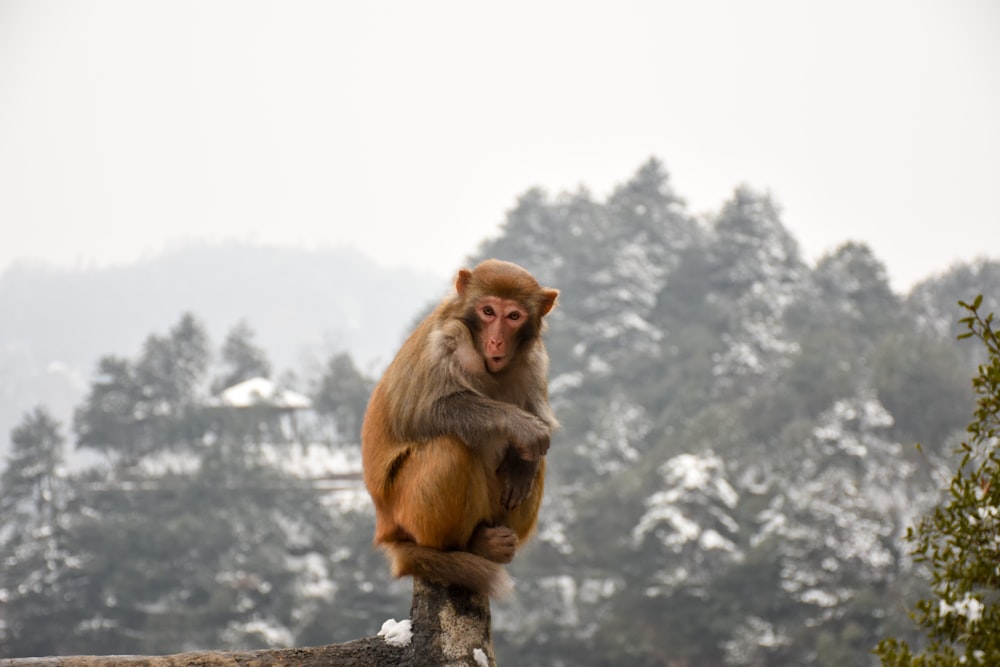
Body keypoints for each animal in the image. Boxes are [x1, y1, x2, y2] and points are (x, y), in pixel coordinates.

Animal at [362, 258, 564, 596]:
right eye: (488, 311)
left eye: (513, 316)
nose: (496, 340)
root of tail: (385, 529)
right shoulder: (446, 341)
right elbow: (424, 411)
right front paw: (521, 425)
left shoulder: (534, 360)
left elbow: (541, 422)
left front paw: (522, 465)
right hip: (407, 512)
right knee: (449, 446)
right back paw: (464, 547)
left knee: (538, 458)